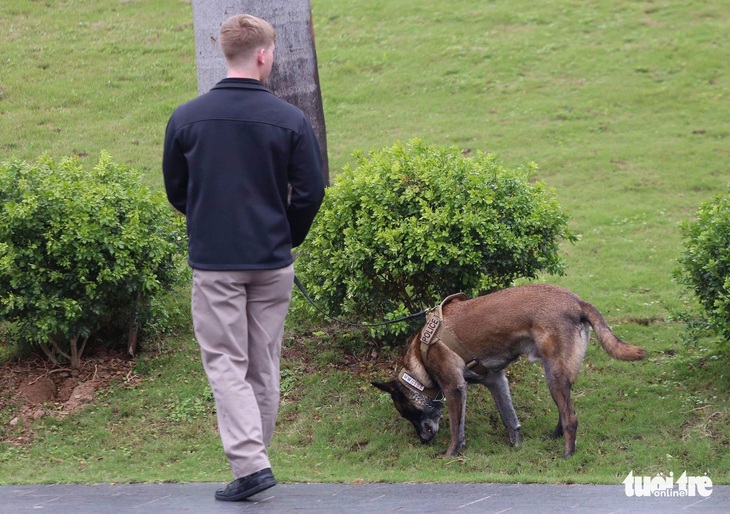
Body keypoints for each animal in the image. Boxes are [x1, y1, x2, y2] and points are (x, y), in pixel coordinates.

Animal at [372, 284, 644, 456]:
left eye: (409, 413)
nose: (424, 441)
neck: (421, 359)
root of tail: (578, 301)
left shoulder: (454, 388)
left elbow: (456, 429)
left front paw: (450, 454)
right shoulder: (496, 380)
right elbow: (509, 418)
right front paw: (516, 446)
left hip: (554, 375)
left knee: (571, 418)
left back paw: (568, 455)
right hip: (559, 374)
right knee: (564, 411)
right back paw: (554, 438)